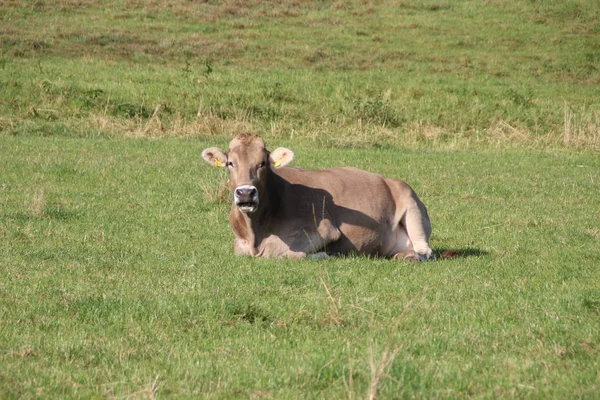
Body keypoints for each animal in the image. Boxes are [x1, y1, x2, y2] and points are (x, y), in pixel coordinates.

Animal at [204, 133, 434, 260]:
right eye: (230, 163)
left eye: (262, 163)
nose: (246, 192)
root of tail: (390, 180)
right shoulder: (240, 244)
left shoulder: (326, 229)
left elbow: (290, 254)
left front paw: (323, 254)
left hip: (411, 203)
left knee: (425, 251)